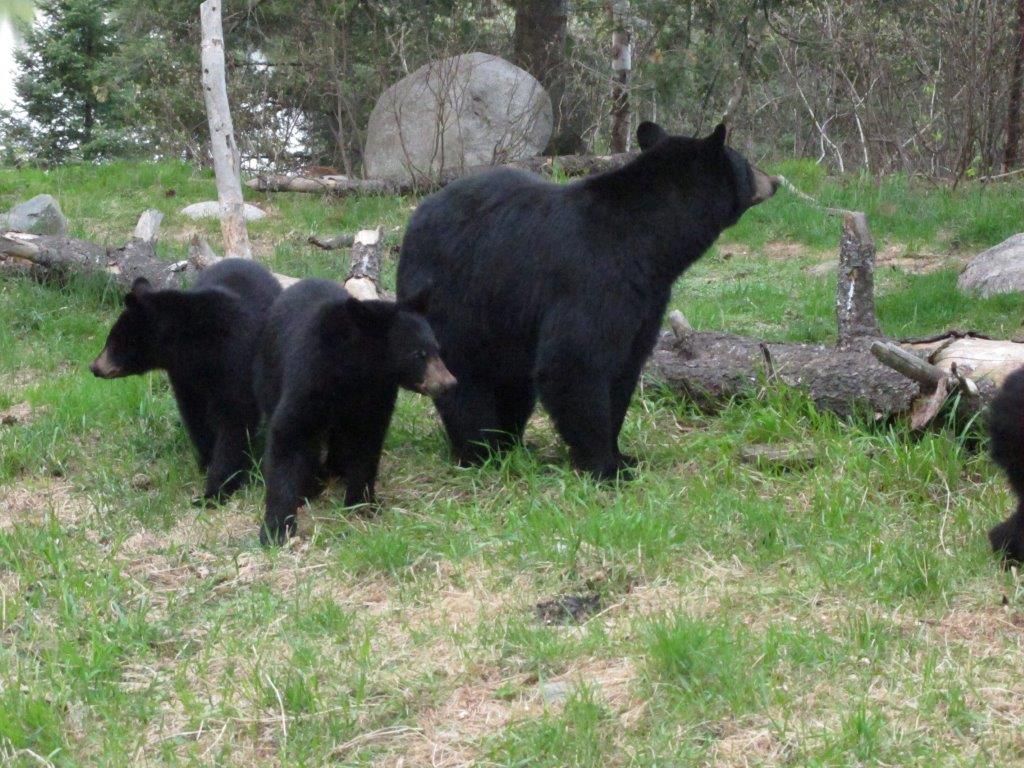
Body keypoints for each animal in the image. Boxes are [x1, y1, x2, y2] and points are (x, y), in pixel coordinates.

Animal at [251, 280, 456, 544]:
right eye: (417, 354)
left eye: (436, 349)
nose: (449, 383)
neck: (355, 371)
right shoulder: (310, 374)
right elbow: (288, 433)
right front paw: (276, 529)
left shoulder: (376, 395)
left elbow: (367, 442)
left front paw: (361, 505)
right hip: (269, 374)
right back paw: (313, 482)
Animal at [395, 119, 778, 479]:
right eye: (745, 163)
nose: (774, 180)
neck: (651, 244)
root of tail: (415, 219)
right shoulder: (593, 278)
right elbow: (575, 360)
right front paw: (605, 467)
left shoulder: (647, 298)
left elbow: (625, 368)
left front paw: (622, 455)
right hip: (454, 298)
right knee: (466, 377)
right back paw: (481, 448)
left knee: (513, 381)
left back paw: (512, 441)